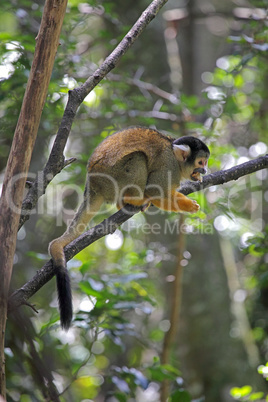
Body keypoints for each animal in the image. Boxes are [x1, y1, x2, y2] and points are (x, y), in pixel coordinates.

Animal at [49, 126, 209, 330]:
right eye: (200, 162)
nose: (204, 170)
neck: (176, 159)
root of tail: (92, 185)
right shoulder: (168, 166)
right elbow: (155, 190)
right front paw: (189, 206)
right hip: (111, 179)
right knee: (139, 158)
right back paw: (134, 199)